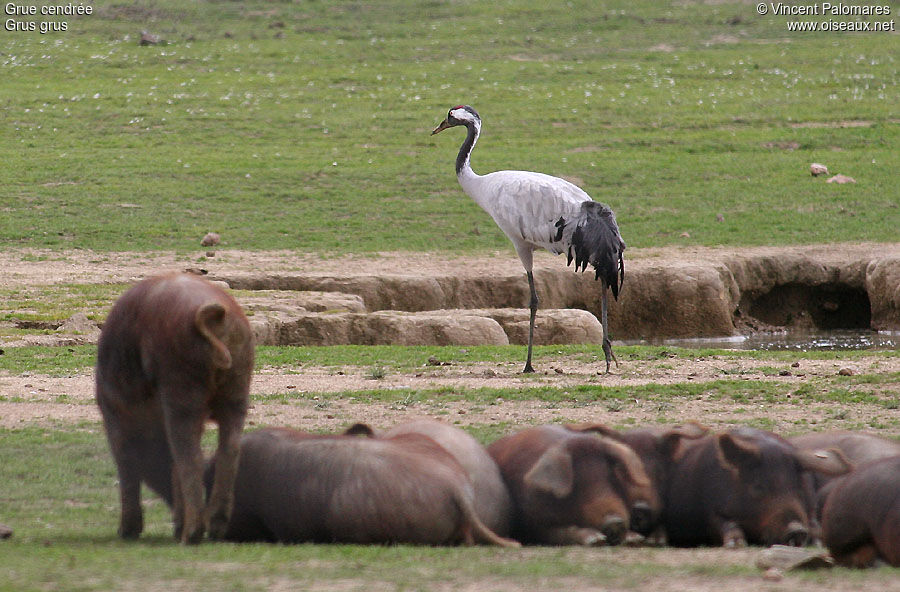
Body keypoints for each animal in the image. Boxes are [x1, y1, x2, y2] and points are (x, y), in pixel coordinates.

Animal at [96, 270, 253, 544]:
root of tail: (213, 315)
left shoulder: (113, 414)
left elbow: (126, 466)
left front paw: (126, 533)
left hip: (181, 381)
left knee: (190, 456)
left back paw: (190, 536)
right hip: (239, 384)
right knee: (229, 448)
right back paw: (213, 531)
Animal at [488, 426, 652, 544]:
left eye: (612, 477)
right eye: (578, 483)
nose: (614, 521)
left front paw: (634, 538)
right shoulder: (533, 524)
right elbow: (558, 533)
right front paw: (594, 539)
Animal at [664, 424, 848, 548]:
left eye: (800, 488)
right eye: (758, 487)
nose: (796, 530)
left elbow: (815, 524)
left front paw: (818, 543)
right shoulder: (709, 508)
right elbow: (724, 523)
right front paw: (736, 544)